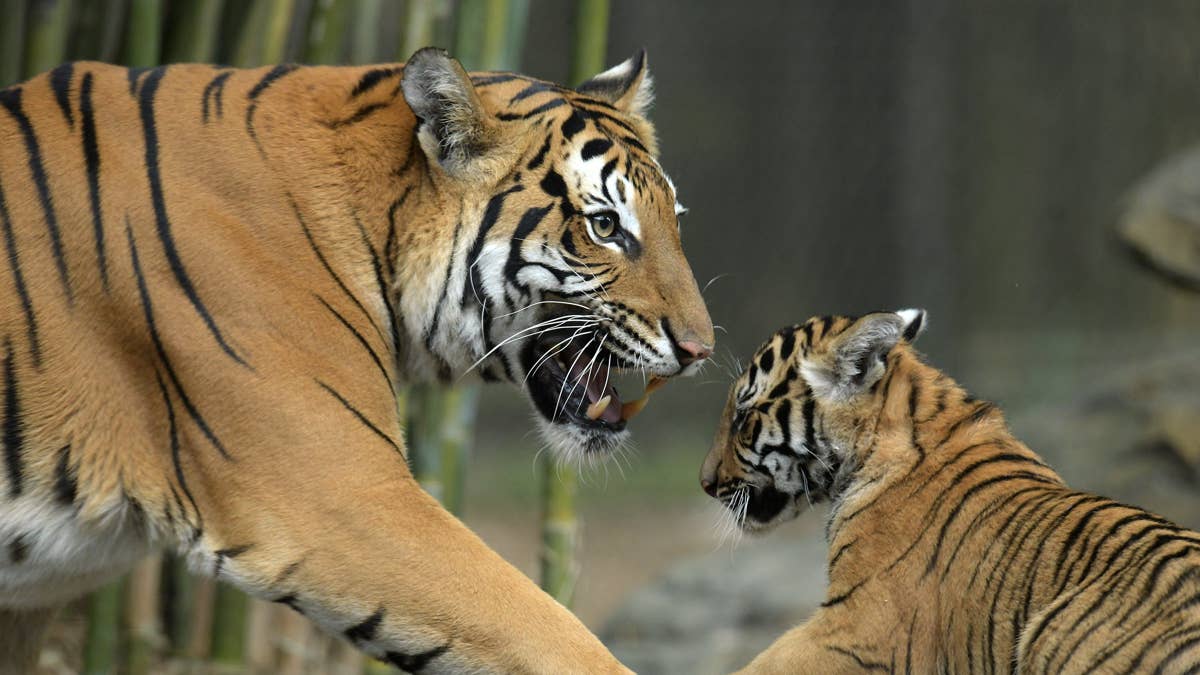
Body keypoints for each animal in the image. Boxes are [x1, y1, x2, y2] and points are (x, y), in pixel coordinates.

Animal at [0, 46, 714, 673]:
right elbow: (546, 632)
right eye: (605, 226)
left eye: (675, 221)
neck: (373, 225)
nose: (701, 349)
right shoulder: (341, 493)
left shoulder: (27, 603)